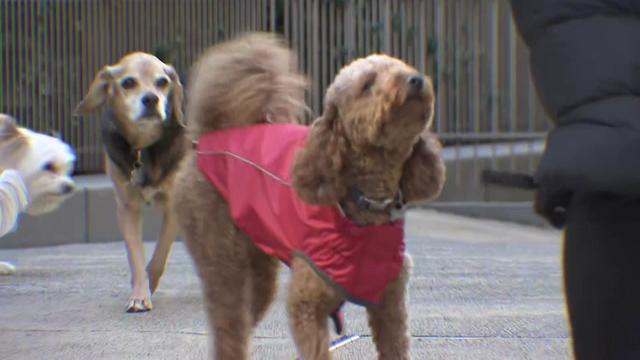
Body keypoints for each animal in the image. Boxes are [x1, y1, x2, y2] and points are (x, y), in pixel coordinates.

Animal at [75, 51, 185, 312]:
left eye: (162, 82)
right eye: (128, 83)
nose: (151, 99)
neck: (143, 147)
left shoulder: (173, 207)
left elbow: (159, 255)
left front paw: (150, 283)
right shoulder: (127, 208)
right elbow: (136, 257)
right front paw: (140, 294)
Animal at [174, 32, 444, 358]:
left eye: (404, 68)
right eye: (367, 84)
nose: (416, 80)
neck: (367, 200)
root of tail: (208, 138)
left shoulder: (390, 304)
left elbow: (395, 346)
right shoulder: (308, 304)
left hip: (259, 267)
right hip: (221, 256)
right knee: (229, 325)